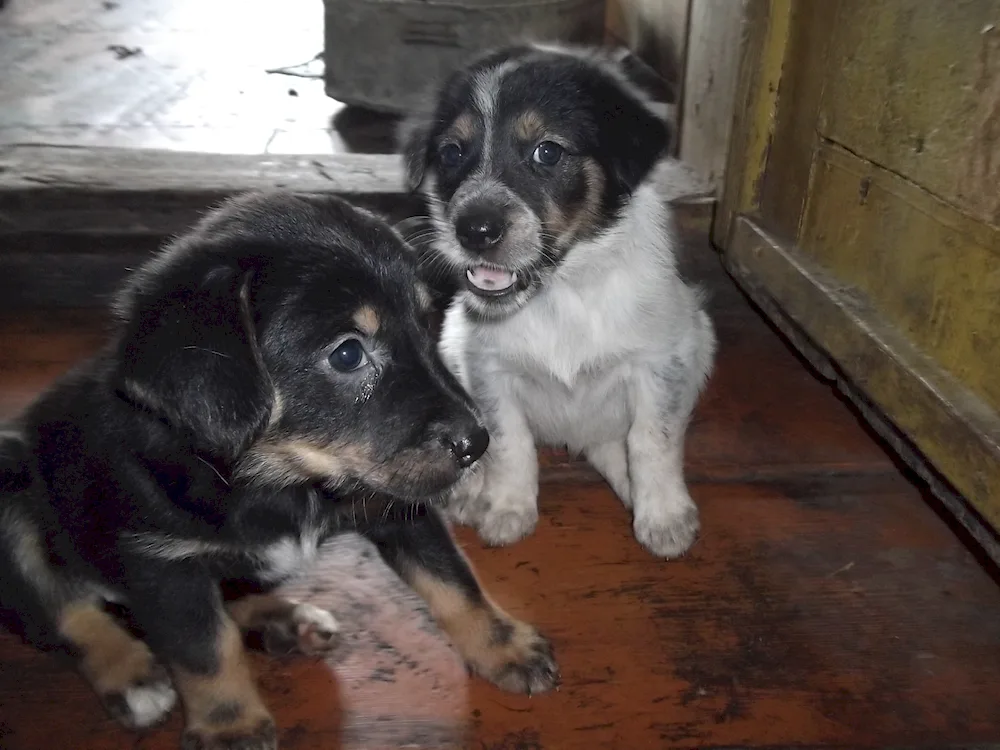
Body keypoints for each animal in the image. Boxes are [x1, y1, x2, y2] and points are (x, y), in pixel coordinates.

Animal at [0, 194, 560, 750]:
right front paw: (229, 726)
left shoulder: (399, 505)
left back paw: (287, 620)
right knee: (63, 608)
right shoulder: (163, 565)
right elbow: (204, 648)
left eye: (429, 326)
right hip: (14, 492)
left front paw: (505, 647)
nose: (477, 443)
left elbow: (453, 580)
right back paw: (132, 675)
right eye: (348, 353)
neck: (278, 480)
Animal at [402, 42, 716, 560]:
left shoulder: (662, 362)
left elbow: (653, 439)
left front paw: (664, 515)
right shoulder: (488, 369)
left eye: (547, 152)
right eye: (451, 153)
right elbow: (509, 442)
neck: (560, 293)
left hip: (701, 337)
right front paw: (506, 507)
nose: (473, 230)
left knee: (615, 443)